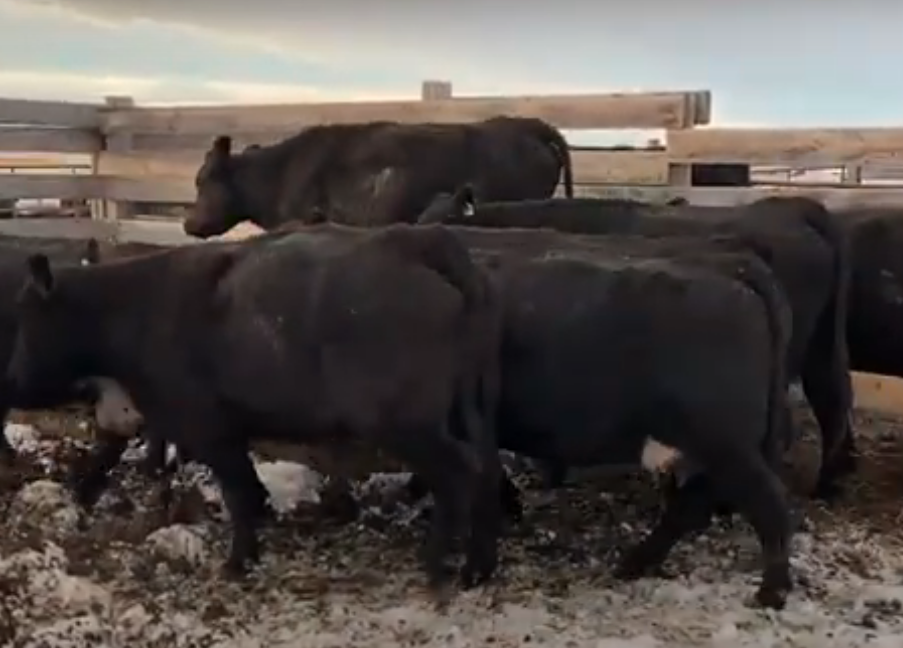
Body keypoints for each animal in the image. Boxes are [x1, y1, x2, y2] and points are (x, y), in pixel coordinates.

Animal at [6, 223, 505, 592]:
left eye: (27, 318)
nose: (9, 381)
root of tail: (422, 241)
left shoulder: (207, 424)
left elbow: (238, 491)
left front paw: (236, 563)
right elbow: (246, 486)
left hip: (403, 419)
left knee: (460, 471)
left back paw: (435, 568)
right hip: (467, 410)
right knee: (486, 468)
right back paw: (476, 570)